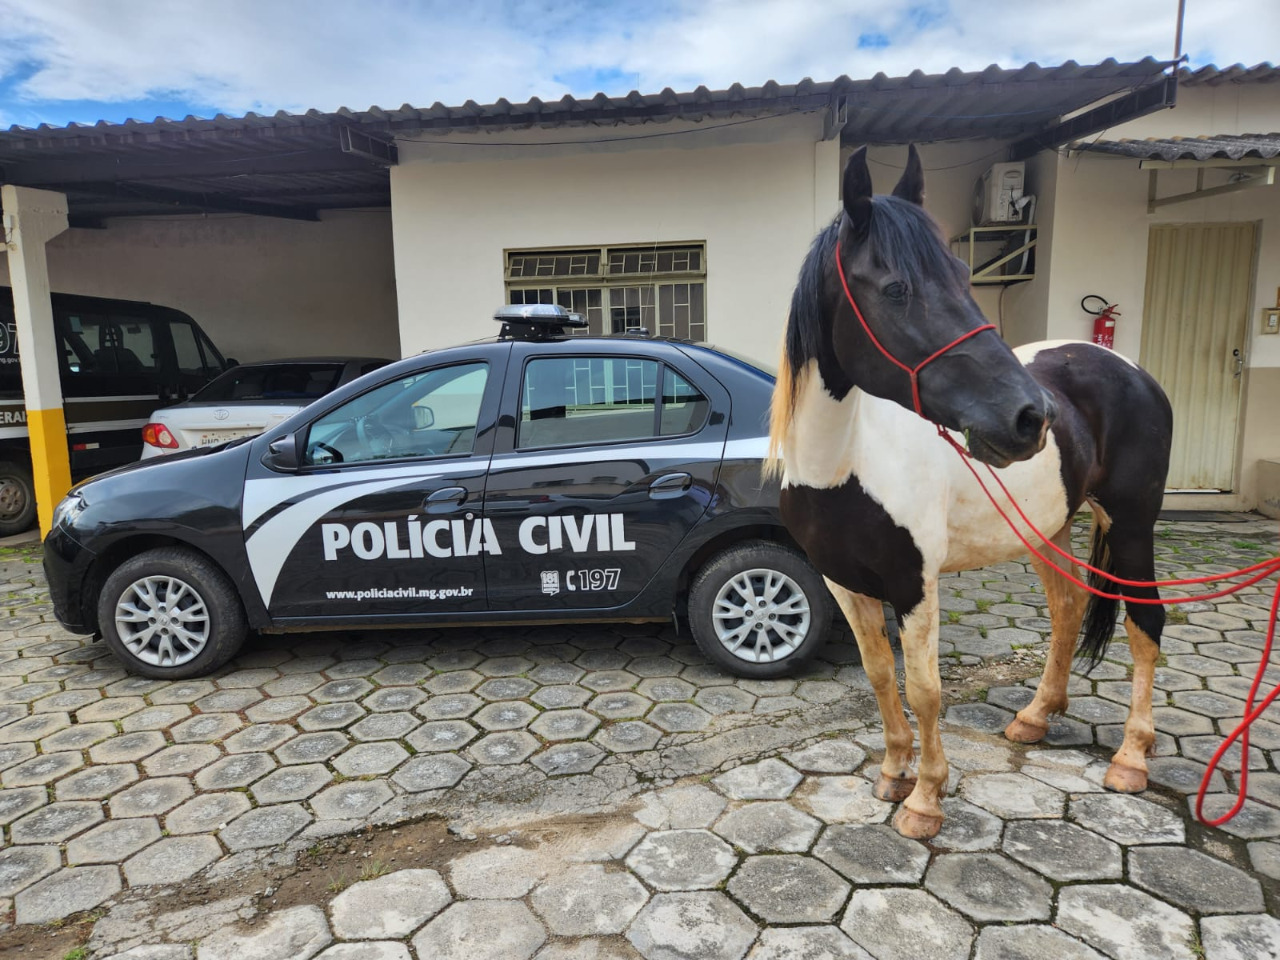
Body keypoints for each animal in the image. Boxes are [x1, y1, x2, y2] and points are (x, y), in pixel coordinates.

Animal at [769, 145, 1173, 840]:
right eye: (896, 288)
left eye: (963, 274)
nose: (1031, 418)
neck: (844, 465)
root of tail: (1130, 368)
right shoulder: (842, 582)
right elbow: (880, 675)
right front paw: (892, 773)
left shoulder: (915, 584)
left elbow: (925, 688)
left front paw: (926, 800)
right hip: (1051, 528)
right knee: (1068, 608)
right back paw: (1035, 718)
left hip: (1132, 522)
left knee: (1145, 621)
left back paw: (1129, 759)